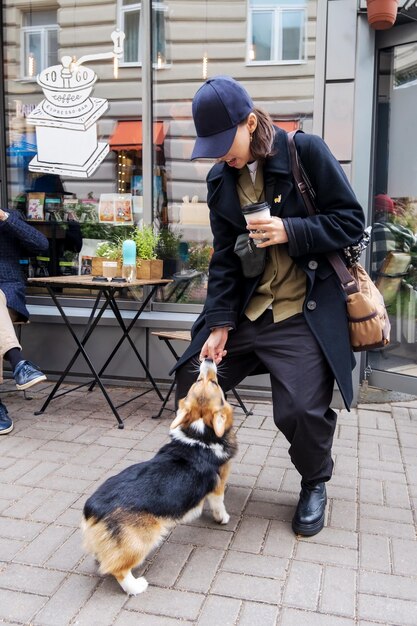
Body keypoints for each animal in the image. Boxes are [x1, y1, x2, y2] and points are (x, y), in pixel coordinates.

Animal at [81, 358, 236, 592]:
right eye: (211, 383)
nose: (208, 359)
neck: (199, 433)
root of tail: (92, 510)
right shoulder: (218, 486)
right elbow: (219, 504)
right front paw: (223, 518)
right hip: (141, 542)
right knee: (119, 569)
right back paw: (136, 587)